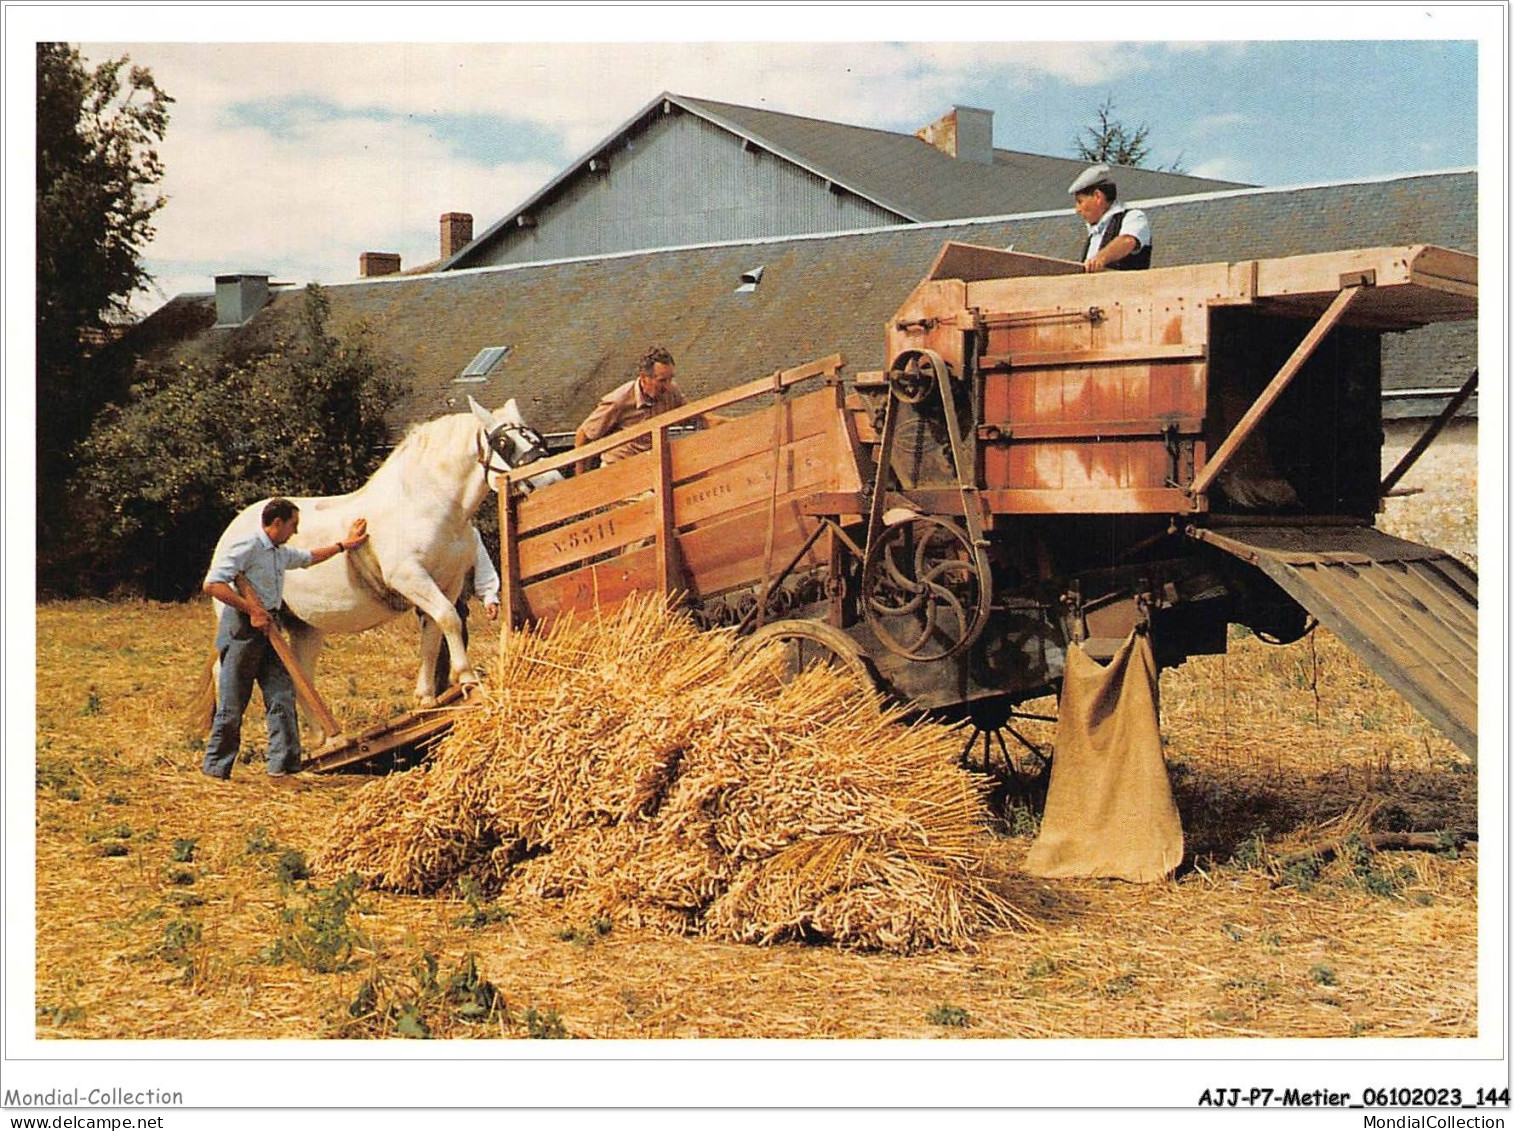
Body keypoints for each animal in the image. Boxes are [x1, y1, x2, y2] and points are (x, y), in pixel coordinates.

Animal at [192, 393, 560, 738]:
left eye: (536, 437)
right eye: (504, 443)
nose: (550, 480)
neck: (426, 504)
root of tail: (230, 534)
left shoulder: (447, 582)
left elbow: (434, 633)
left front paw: (426, 698)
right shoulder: (410, 577)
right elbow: (449, 619)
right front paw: (467, 679)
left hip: (304, 626)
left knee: (301, 675)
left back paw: (324, 738)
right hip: (244, 621)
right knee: (227, 672)